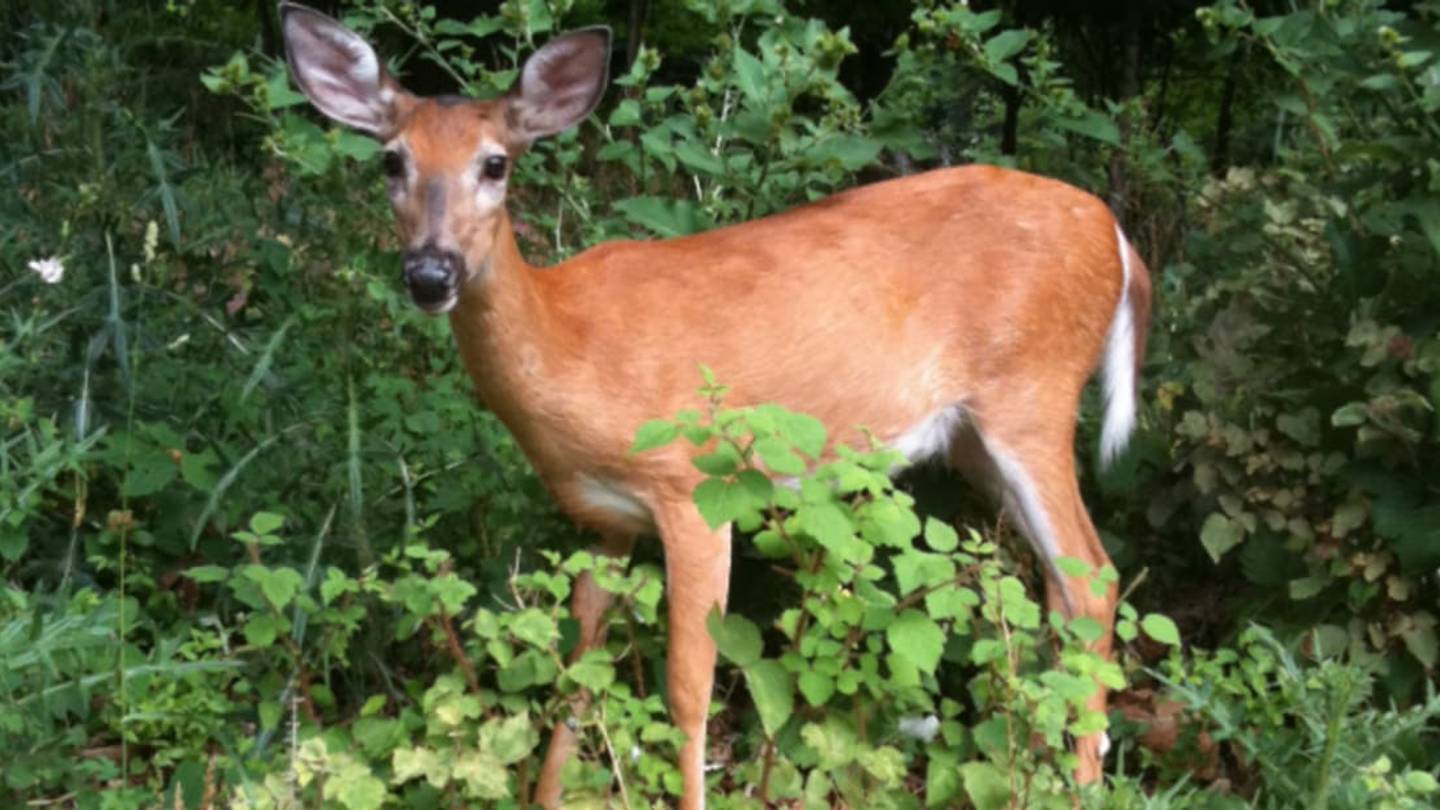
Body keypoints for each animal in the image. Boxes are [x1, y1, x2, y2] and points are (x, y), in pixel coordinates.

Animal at [279, 4, 1151, 807]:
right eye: (390, 161)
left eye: (495, 164)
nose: (431, 273)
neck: (569, 345)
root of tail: (1117, 237)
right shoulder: (602, 519)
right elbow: (577, 670)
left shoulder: (694, 487)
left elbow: (687, 693)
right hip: (973, 437)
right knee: (1053, 586)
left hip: (1031, 392)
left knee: (1096, 577)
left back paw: (1079, 782)